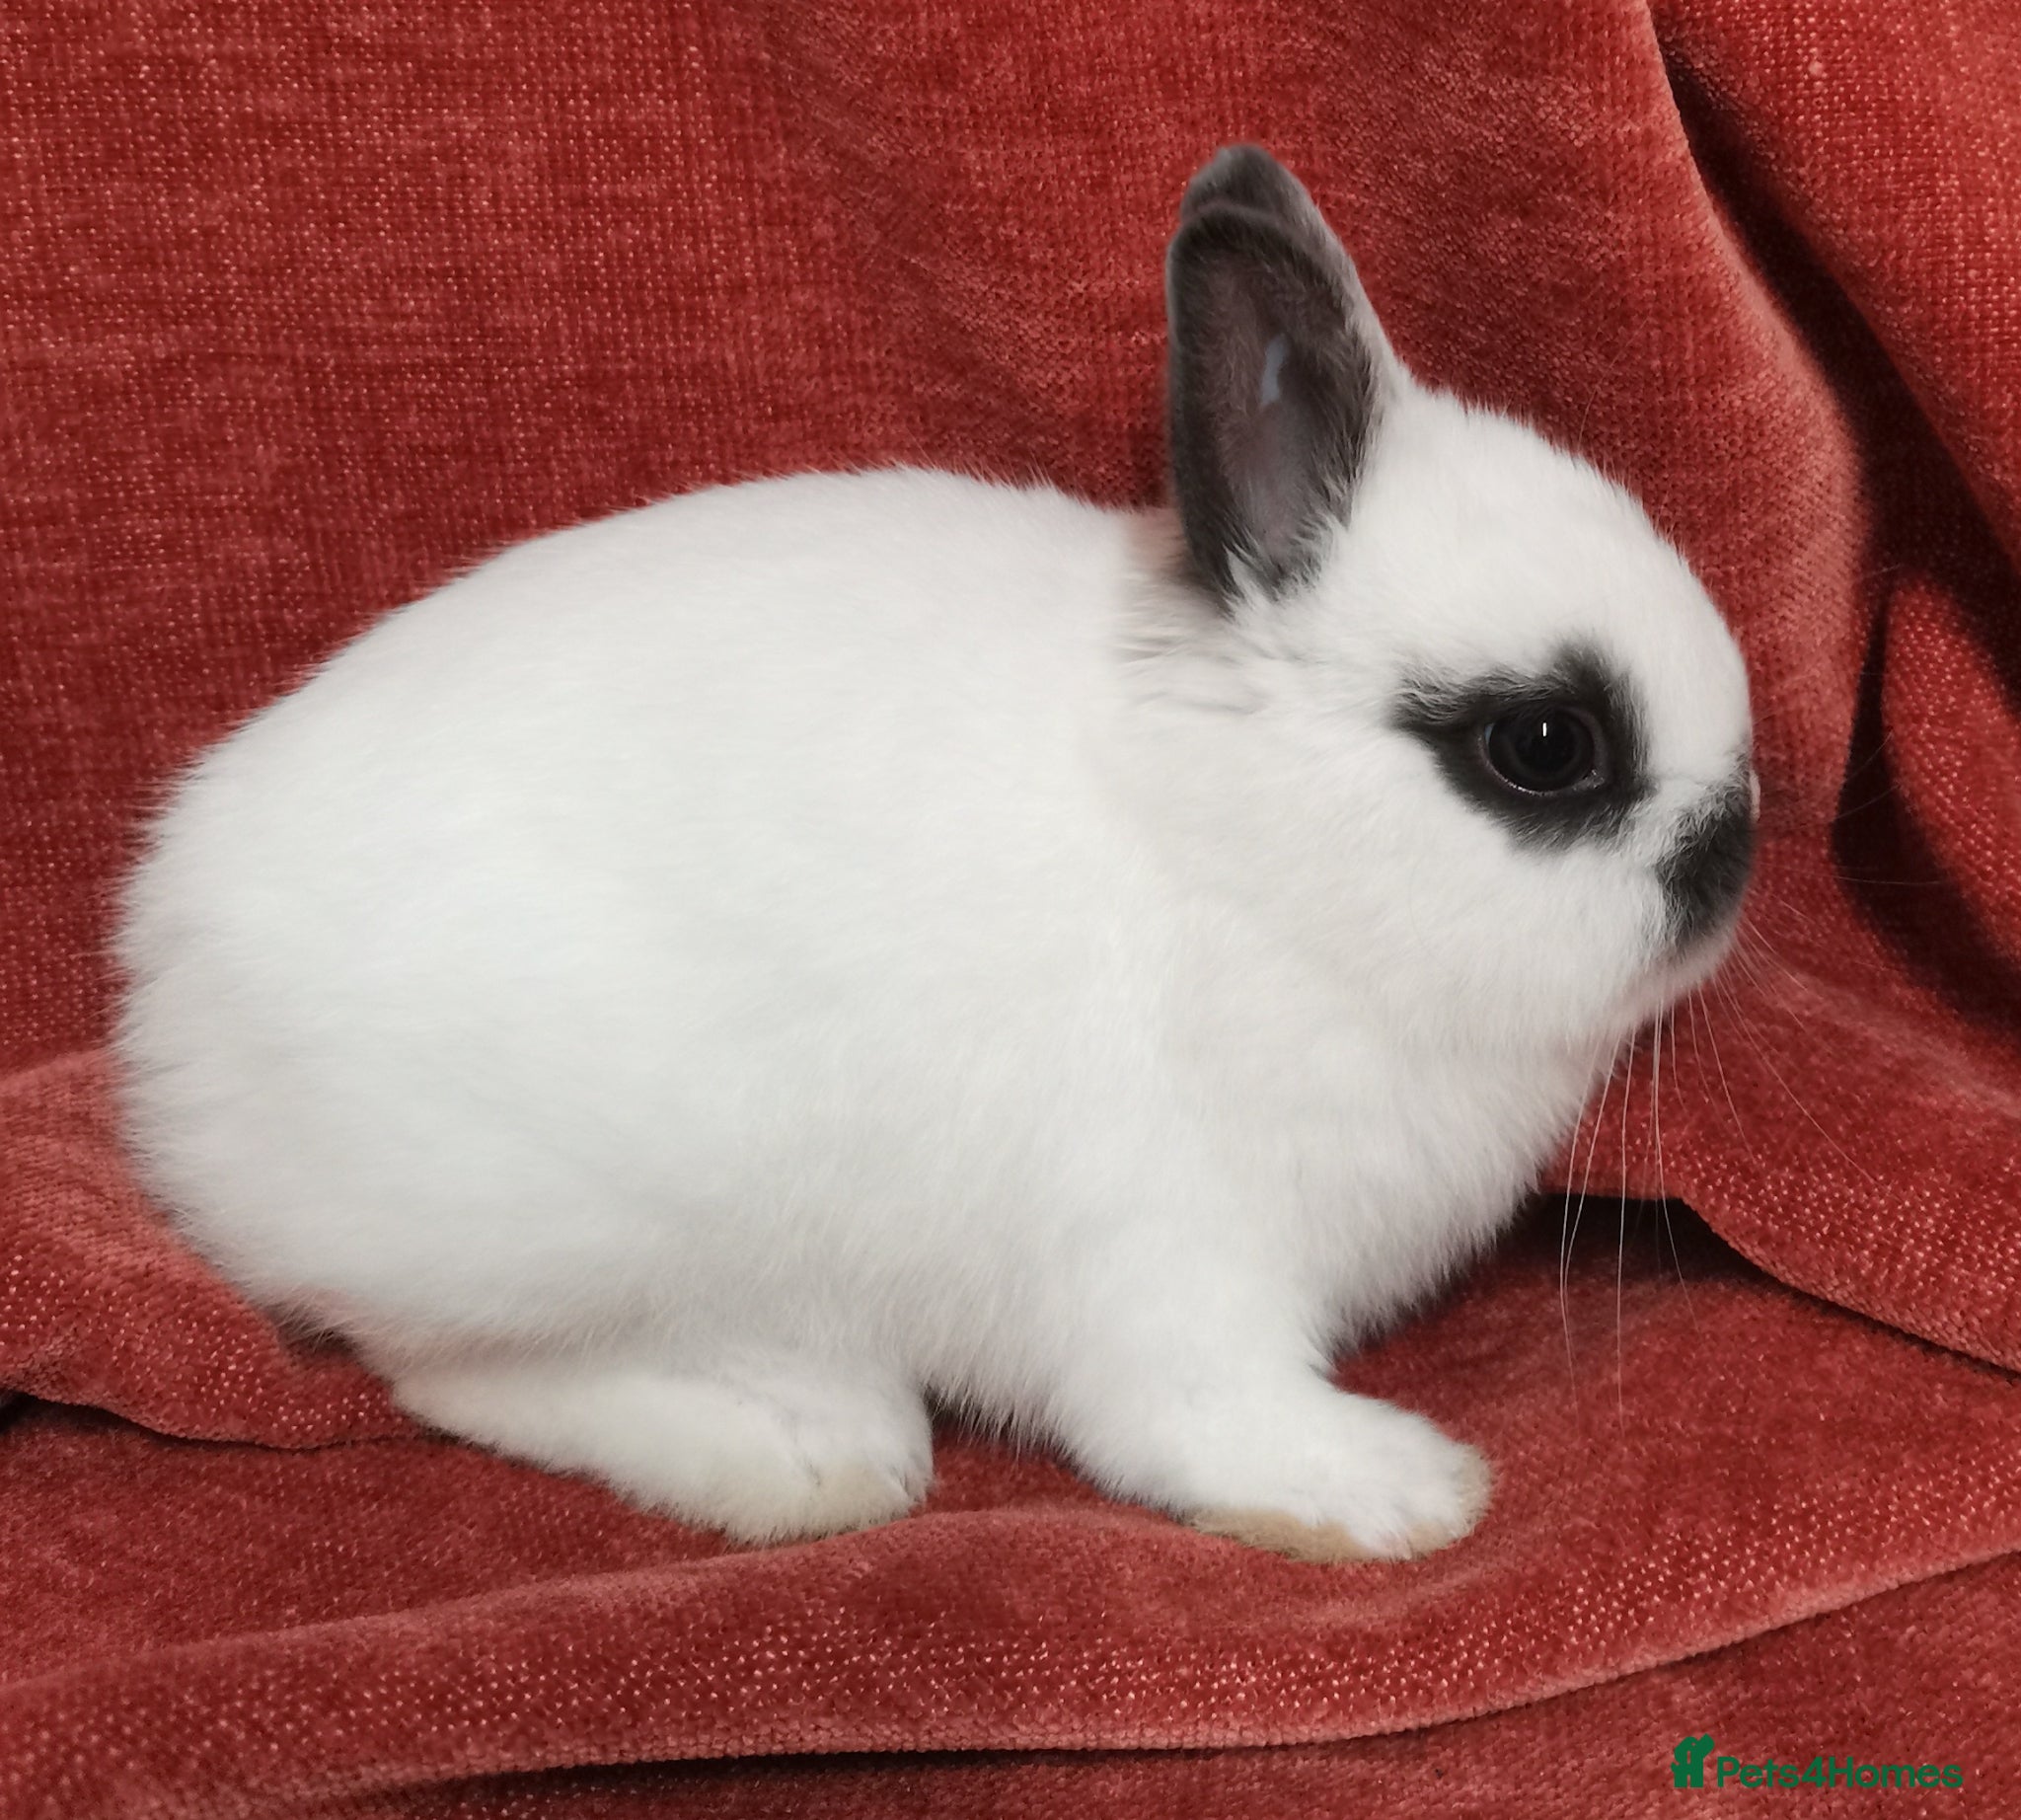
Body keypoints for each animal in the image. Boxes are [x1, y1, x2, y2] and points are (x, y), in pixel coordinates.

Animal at [114, 146, 1754, 1562]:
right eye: (1542, 745)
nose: (1735, 853)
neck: (1244, 854)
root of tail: (165, 972)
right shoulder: (1166, 1253)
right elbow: (1200, 1416)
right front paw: (1395, 1494)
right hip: (564, 1223)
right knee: (449, 1371)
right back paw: (811, 1447)